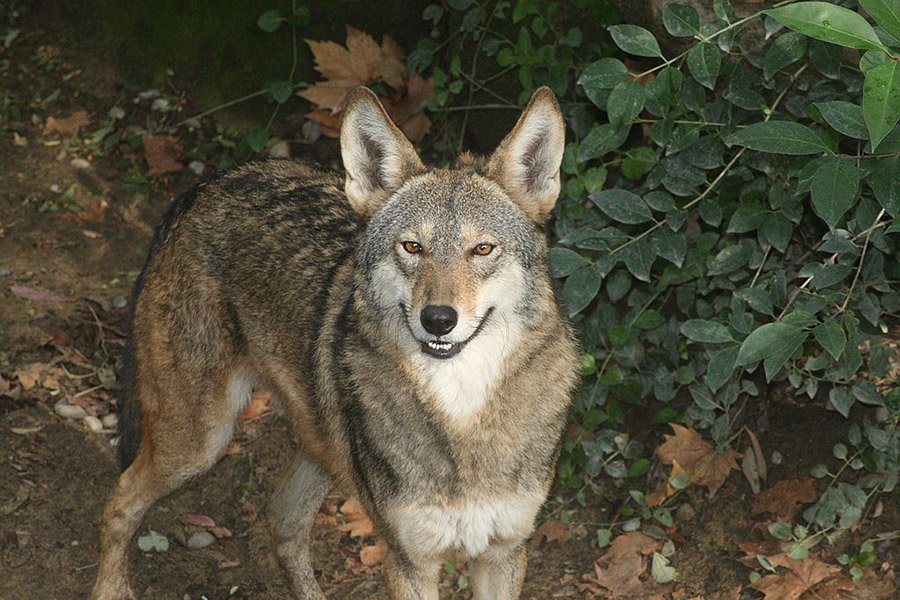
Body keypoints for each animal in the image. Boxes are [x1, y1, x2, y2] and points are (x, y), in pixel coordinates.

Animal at [90, 86, 578, 600]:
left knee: (282, 519)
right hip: (199, 443)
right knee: (120, 500)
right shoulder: (409, 562)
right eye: (412, 247)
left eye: (482, 249)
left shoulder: (504, 554)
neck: (462, 416)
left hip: (313, 444)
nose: (438, 319)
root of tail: (208, 184)